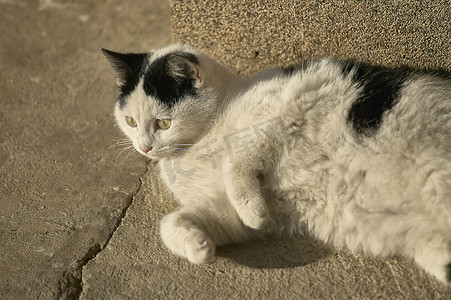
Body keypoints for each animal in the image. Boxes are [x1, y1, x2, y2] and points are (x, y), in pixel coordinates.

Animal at [102, 44, 451, 284]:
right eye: (130, 121)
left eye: (163, 123)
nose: (144, 146)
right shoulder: (221, 210)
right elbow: (171, 223)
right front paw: (199, 249)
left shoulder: (277, 115)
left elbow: (236, 164)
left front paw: (255, 212)